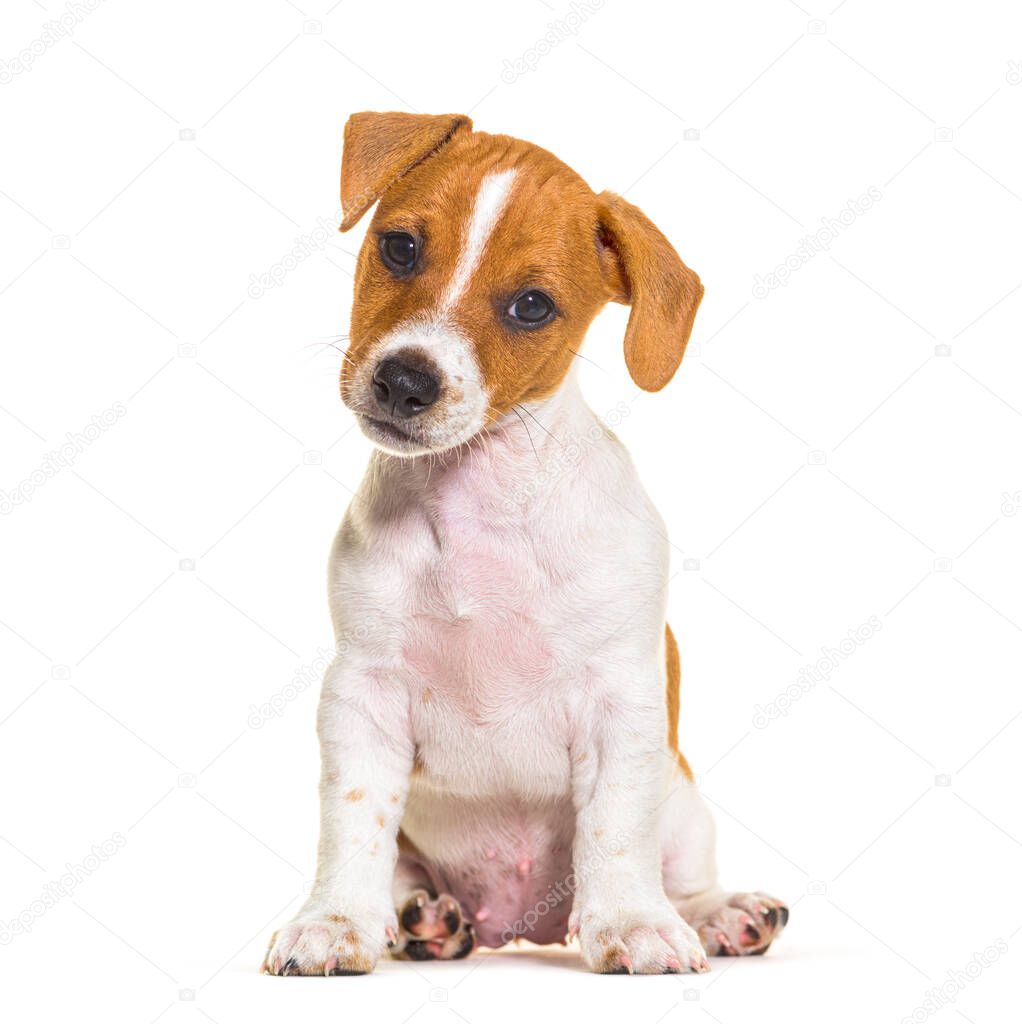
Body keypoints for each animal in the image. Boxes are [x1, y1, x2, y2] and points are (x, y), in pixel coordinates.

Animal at [264, 110, 790, 974]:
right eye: (399, 247)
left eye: (533, 306)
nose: (404, 382)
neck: (479, 501)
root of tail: (517, 925)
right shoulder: (361, 697)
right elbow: (352, 823)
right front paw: (335, 921)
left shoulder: (622, 704)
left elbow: (614, 831)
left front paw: (633, 924)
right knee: (406, 873)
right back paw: (422, 919)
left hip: (682, 802)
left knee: (682, 874)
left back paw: (721, 913)